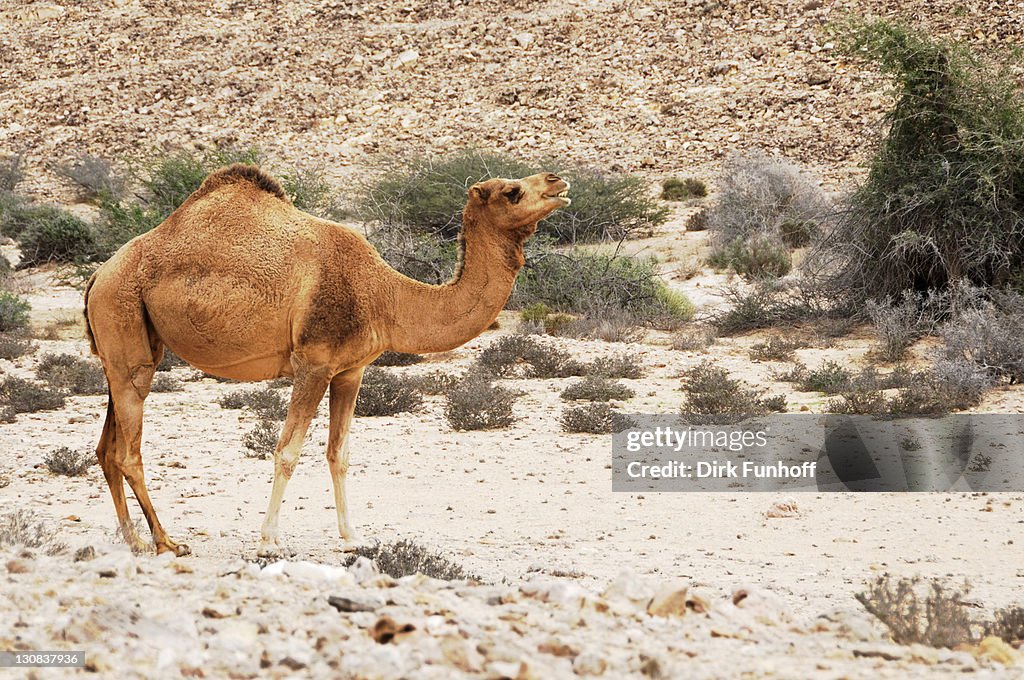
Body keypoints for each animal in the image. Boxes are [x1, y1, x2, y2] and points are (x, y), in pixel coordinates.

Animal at [84, 164, 573, 557]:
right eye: (512, 191)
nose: (557, 181)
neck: (384, 294)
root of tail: (98, 275)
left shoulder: (350, 370)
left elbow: (339, 453)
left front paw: (353, 536)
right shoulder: (313, 363)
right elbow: (286, 451)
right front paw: (269, 541)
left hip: (124, 350)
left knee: (106, 449)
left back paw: (135, 540)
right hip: (125, 325)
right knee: (128, 451)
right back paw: (166, 542)